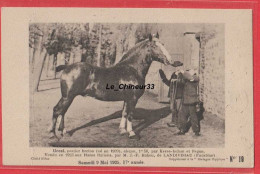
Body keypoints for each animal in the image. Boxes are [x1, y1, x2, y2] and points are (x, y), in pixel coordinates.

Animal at [49, 33, 182, 139]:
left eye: (163, 44)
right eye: (154, 46)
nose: (171, 61)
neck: (132, 69)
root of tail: (67, 67)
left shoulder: (127, 99)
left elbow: (124, 113)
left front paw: (122, 130)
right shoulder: (133, 99)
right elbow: (130, 115)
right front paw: (131, 133)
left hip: (68, 97)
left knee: (62, 112)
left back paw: (64, 132)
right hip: (68, 97)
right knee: (57, 110)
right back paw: (53, 134)